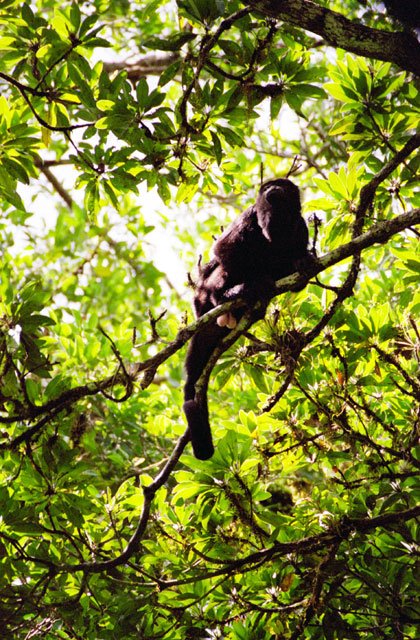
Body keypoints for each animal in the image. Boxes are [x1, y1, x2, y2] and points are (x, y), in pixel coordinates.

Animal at [183, 180, 308, 460]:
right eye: (268, 185)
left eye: (281, 184)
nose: (272, 189)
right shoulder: (248, 216)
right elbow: (224, 249)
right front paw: (254, 282)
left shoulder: (302, 226)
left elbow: (295, 263)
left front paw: (302, 262)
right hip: (203, 296)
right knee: (221, 267)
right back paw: (230, 294)